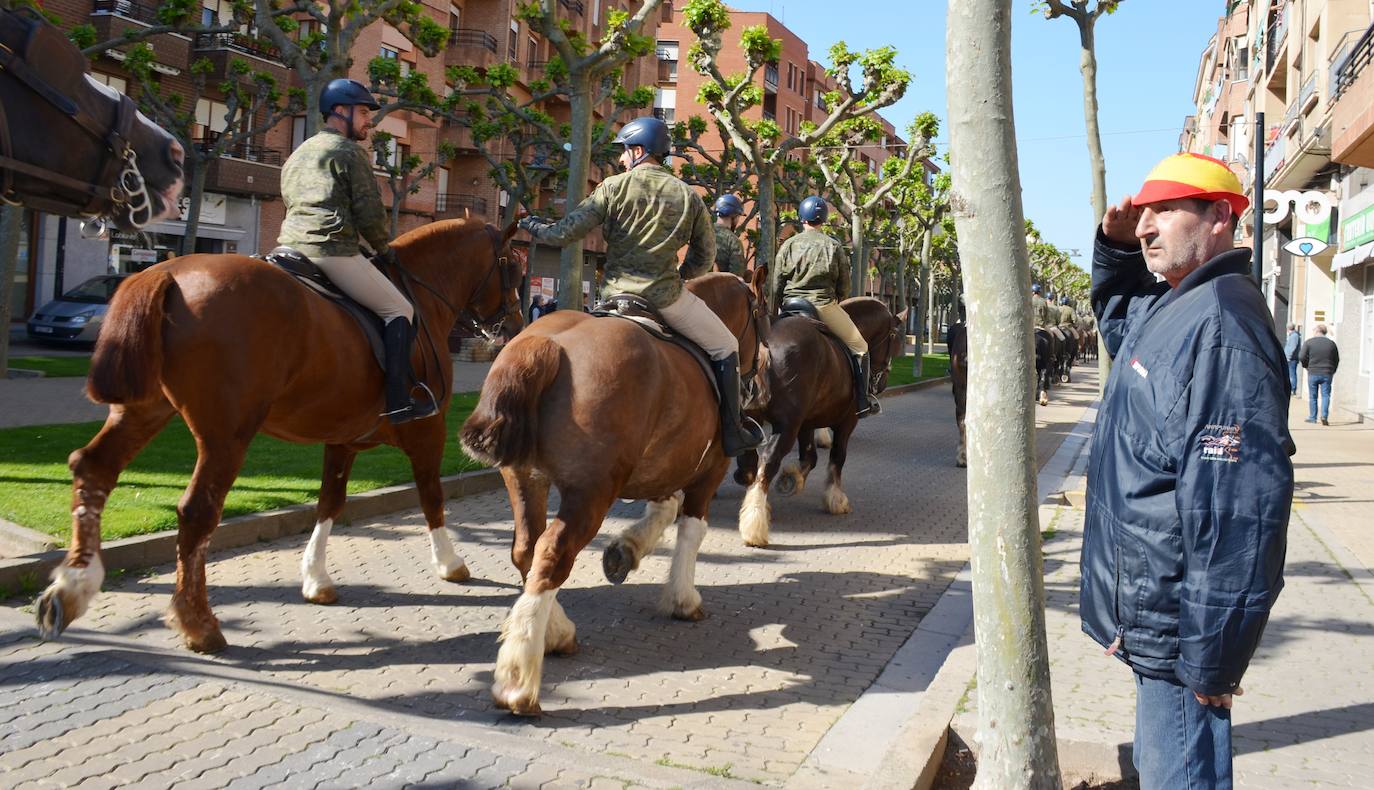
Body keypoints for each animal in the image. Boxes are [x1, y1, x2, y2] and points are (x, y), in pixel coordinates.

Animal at [37, 219, 522, 651]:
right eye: (513, 266)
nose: (516, 326)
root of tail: (167, 272)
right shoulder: (426, 429)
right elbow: (431, 495)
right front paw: (450, 562)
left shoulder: (342, 438)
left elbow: (330, 502)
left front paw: (316, 578)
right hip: (225, 435)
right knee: (197, 511)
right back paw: (198, 623)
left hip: (143, 409)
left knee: (94, 468)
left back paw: (72, 587)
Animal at [458, 273, 763, 714]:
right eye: (761, 314)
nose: (761, 370)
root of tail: (545, 344)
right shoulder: (710, 469)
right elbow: (691, 529)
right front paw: (683, 599)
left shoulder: (664, 466)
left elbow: (664, 507)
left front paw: (626, 550)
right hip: (591, 493)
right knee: (552, 555)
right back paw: (517, 679)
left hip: (524, 479)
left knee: (526, 550)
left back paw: (555, 633)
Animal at [730, 296, 901, 549]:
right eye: (894, 338)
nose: (881, 385)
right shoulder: (846, 421)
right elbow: (837, 457)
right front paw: (835, 499)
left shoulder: (807, 421)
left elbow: (810, 457)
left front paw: (791, 479)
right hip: (787, 425)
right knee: (768, 460)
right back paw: (754, 524)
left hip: (756, 418)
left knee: (750, 455)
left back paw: (746, 481)